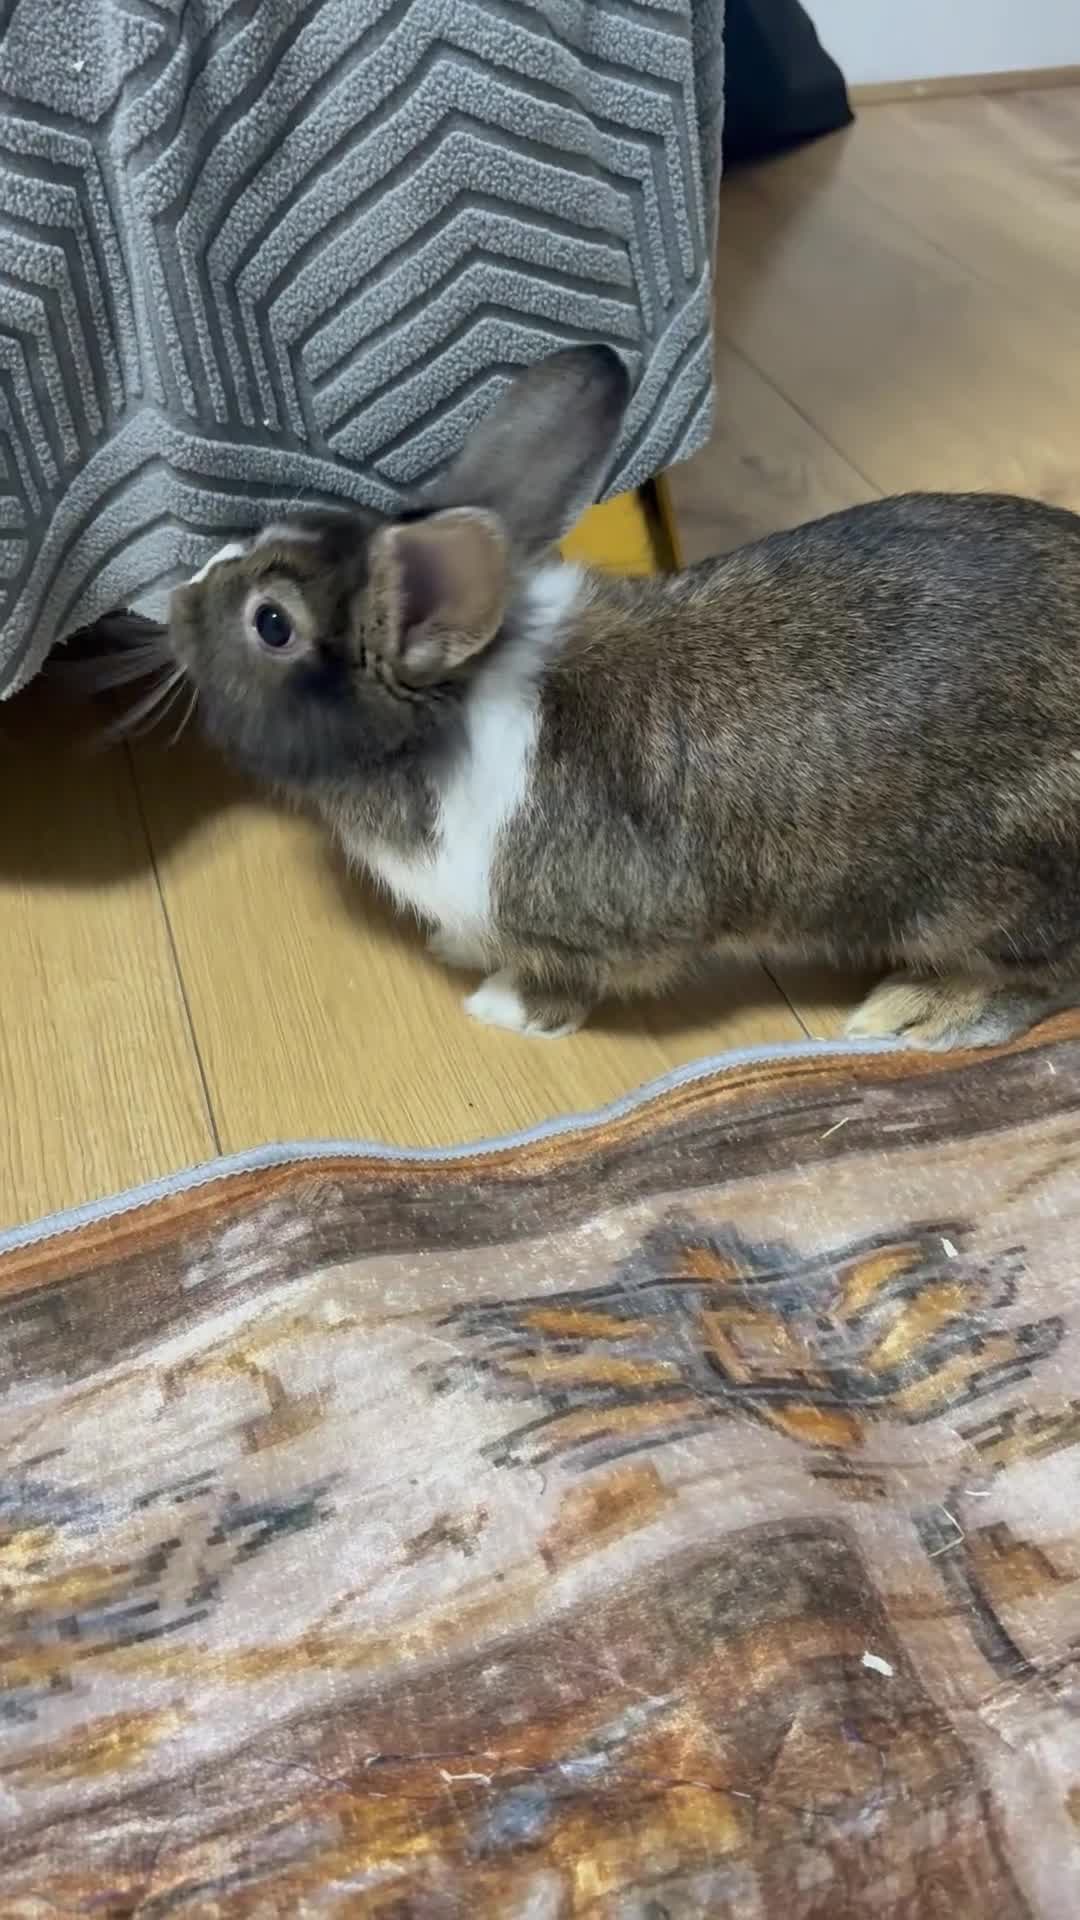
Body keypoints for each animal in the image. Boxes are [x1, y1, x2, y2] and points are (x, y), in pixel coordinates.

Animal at [167, 344, 1080, 1050]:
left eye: (272, 623)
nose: (175, 602)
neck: (450, 714)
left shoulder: (609, 925)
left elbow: (575, 975)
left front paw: (505, 1005)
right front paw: (457, 947)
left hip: (985, 893)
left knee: (1041, 977)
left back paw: (916, 1012)